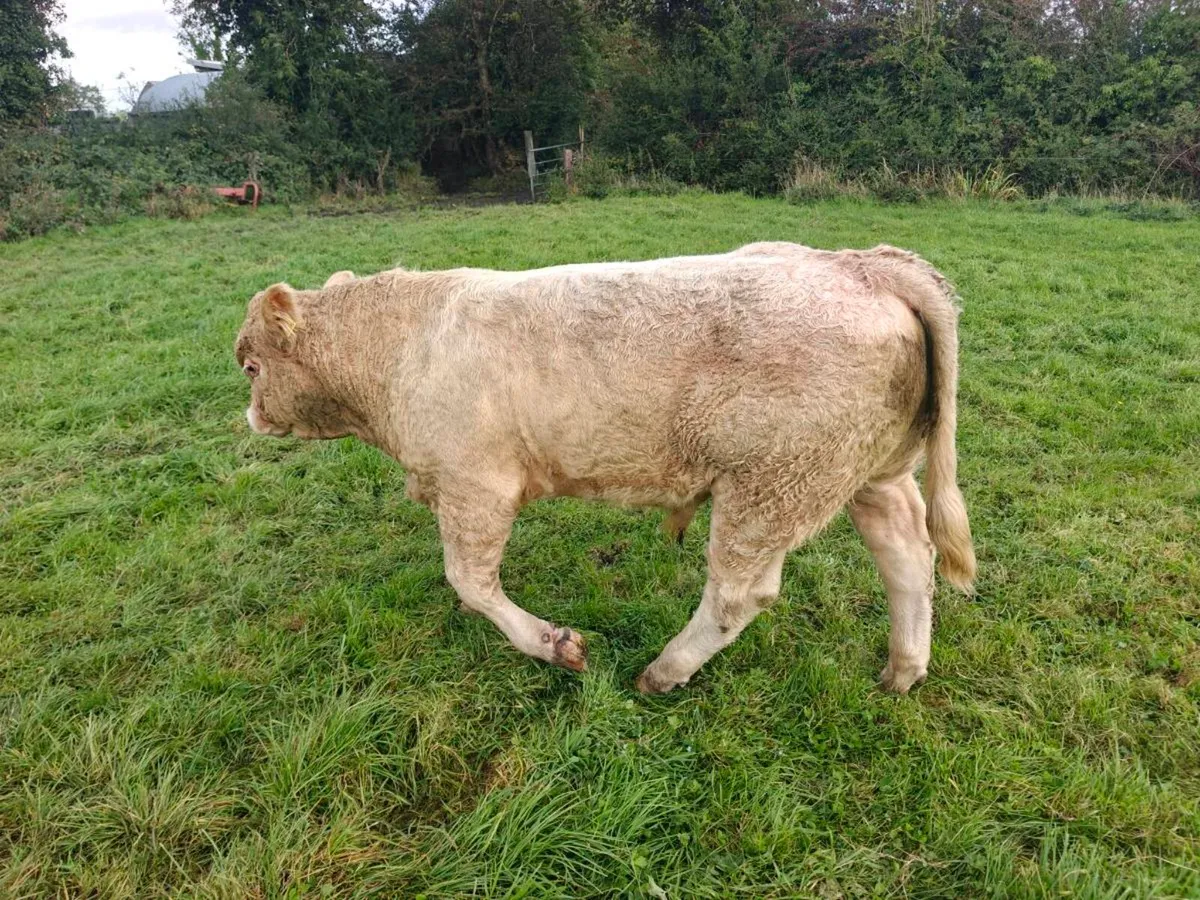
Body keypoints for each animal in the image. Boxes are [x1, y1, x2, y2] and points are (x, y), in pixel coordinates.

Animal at [234, 243, 976, 694]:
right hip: (867, 468)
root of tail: (860, 265)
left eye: (251, 367)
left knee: (740, 594)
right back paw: (903, 670)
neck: (400, 347)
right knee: (907, 553)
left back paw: (663, 671)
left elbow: (470, 582)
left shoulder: (475, 483)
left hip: (772, 480)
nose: (251, 416)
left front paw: (556, 645)